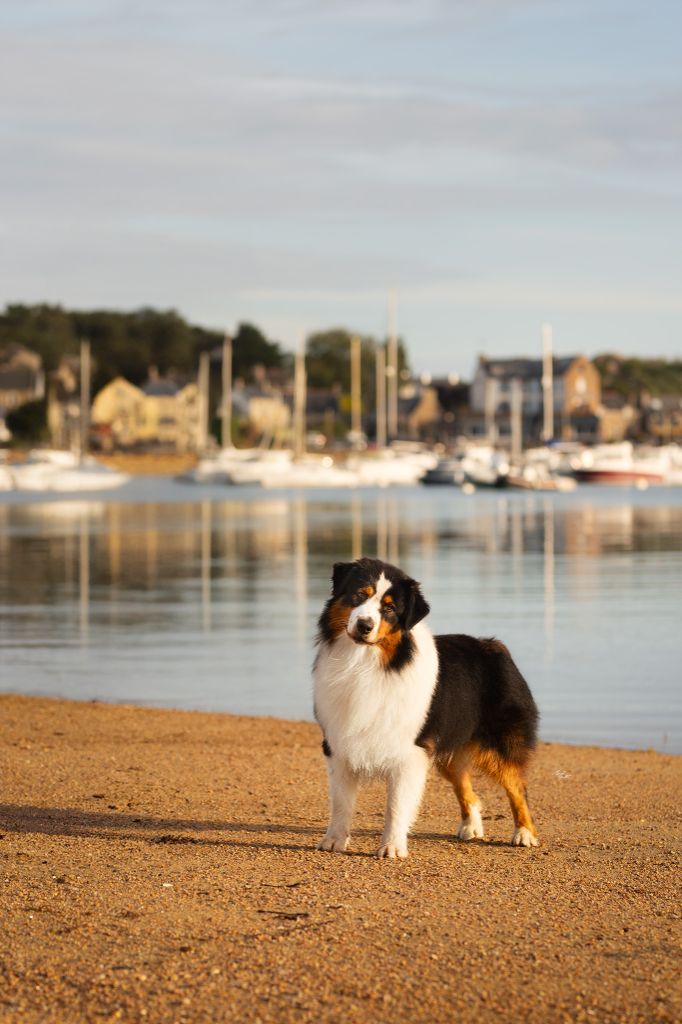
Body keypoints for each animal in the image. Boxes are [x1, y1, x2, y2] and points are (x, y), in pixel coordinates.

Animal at [311, 561, 540, 856]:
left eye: (389, 608)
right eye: (358, 595)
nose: (364, 625)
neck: (367, 664)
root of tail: (495, 645)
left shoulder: (410, 751)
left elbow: (396, 805)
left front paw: (392, 847)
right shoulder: (338, 743)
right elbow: (341, 802)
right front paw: (334, 841)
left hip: (499, 744)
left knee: (517, 786)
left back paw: (524, 833)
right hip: (450, 749)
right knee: (467, 788)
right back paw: (471, 827)